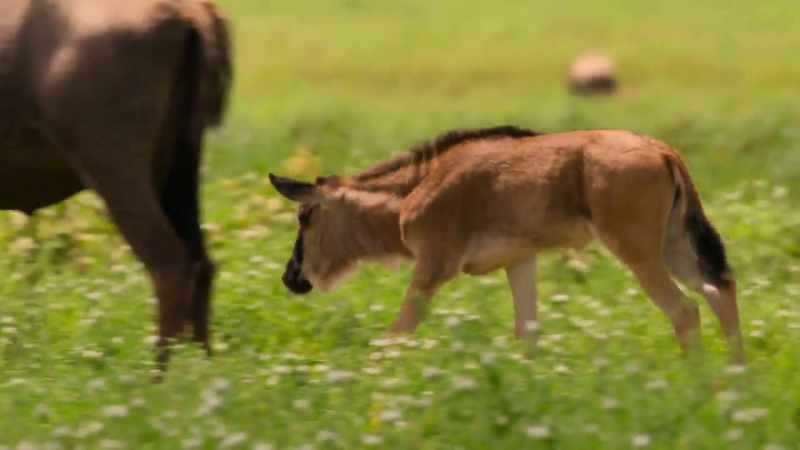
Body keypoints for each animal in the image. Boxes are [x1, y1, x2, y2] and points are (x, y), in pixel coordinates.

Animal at [0, 0, 232, 371]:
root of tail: (187, 11)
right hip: (179, 169)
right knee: (202, 263)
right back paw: (205, 369)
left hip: (117, 172)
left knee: (170, 263)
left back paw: (160, 377)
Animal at [269, 127, 745, 363]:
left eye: (305, 215)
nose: (291, 277)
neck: (414, 187)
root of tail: (663, 150)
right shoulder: (520, 262)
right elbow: (528, 332)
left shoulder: (432, 269)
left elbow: (395, 333)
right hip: (672, 245)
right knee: (718, 290)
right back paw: (734, 384)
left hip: (638, 253)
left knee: (686, 310)